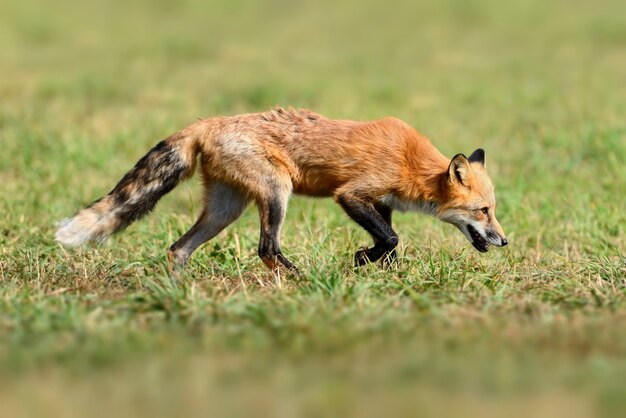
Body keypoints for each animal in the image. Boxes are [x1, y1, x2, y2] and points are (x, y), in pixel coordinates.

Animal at [56, 106, 508, 272]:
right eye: (484, 211)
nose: (504, 240)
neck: (411, 162)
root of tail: (208, 122)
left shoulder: (381, 203)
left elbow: (389, 241)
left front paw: (372, 265)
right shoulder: (351, 194)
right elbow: (392, 238)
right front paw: (362, 261)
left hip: (225, 210)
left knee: (179, 248)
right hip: (276, 192)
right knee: (267, 249)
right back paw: (301, 281)